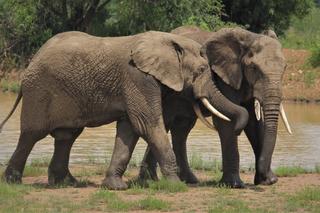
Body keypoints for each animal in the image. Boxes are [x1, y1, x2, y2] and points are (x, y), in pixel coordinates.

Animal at [0, 30, 249, 190]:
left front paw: (115, 187)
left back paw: (66, 183)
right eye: (201, 70)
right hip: (39, 91)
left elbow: (129, 129)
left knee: (67, 135)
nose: (237, 128)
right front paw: (176, 186)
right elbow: (148, 124)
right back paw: (13, 182)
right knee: (32, 134)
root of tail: (31, 63)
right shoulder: (138, 78)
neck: (169, 41)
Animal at [138, 26, 292, 186]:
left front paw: (267, 181)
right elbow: (227, 122)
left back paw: (184, 180)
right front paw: (234, 185)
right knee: (166, 123)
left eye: (285, 67)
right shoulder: (224, 76)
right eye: (254, 68)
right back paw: (151, 180)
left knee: (181, 129)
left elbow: (254, 124)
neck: (250, 37)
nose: (269, 178)